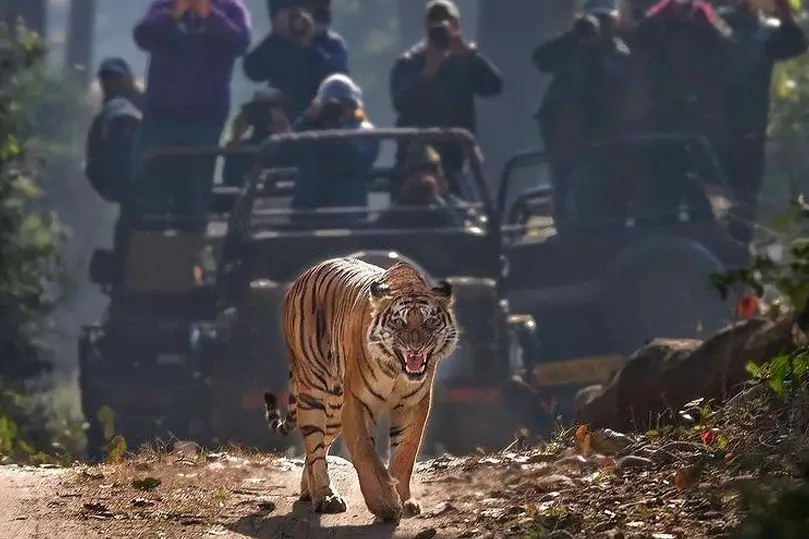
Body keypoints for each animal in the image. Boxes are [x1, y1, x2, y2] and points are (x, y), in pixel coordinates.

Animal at [263, 256, 458, 522]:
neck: (396, 370)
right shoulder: (357, 402)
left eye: (429, 321)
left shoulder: (413, 404)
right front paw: (385, 504)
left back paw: (309, 491)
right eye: (399, 322)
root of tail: (301, 278)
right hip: (314, 392)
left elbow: (405, 454)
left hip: (334, 409)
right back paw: (325, 497)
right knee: (315, 448)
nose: (416, 347)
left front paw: (404, 502)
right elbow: (365, 452)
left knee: (318, 450)